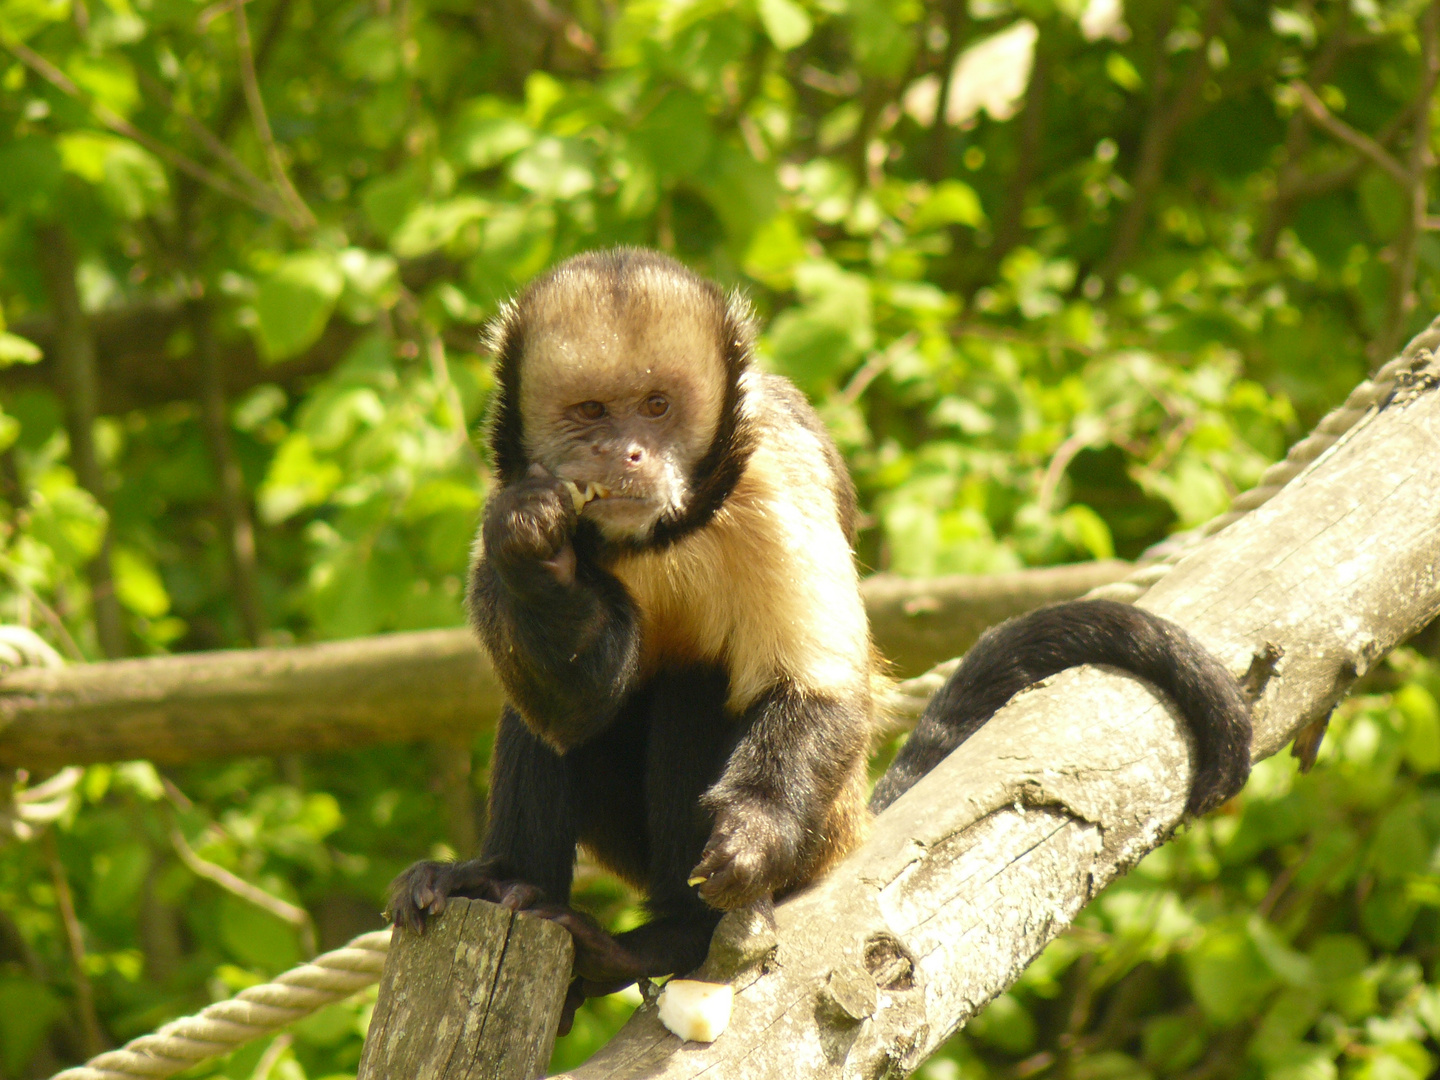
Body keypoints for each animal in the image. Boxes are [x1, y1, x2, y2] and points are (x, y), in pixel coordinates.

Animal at [388, 247, 1255, 1031]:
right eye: (594, 412)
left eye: (658, 406)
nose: (625, 453)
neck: (664, 534)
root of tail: (854, 827)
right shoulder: (507, 485)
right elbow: (574, 706)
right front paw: (537, 550)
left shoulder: (777, 468)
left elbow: (818, 687)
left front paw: (753, 836)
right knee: (548, 718)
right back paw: (509, 884)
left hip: (821, 834)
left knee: (699, 684)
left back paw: (669, 937)